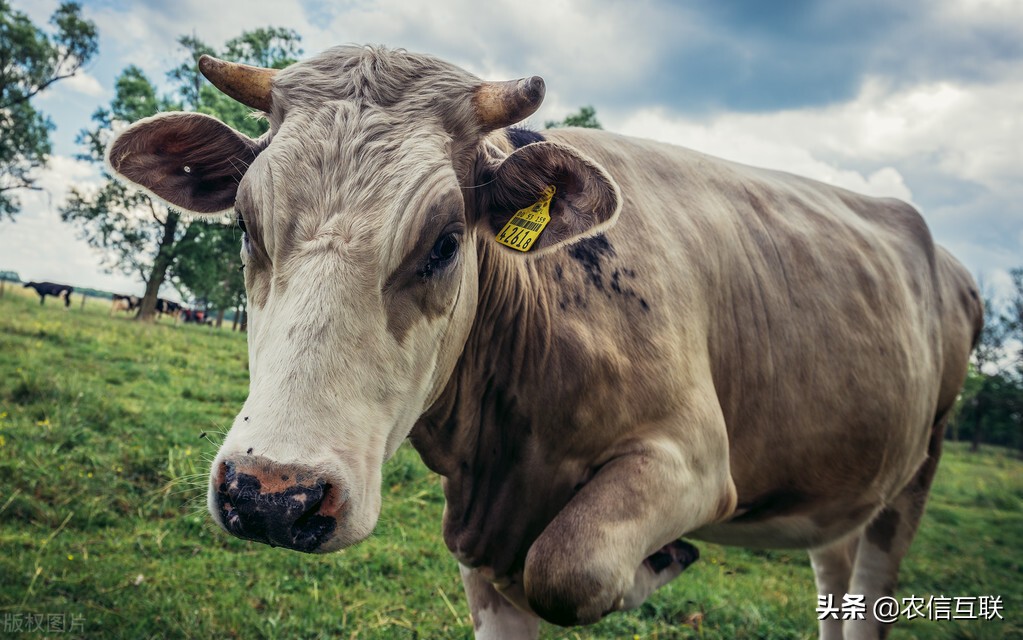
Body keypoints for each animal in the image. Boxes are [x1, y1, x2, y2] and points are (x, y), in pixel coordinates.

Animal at [105, 47, 982, 633]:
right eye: (247, 228)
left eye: (444, 242)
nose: (271, 494)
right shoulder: (482, 539)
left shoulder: (695, 464)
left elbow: (567, 566)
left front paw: (661, 563)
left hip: (916, 472)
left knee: (871, 597)